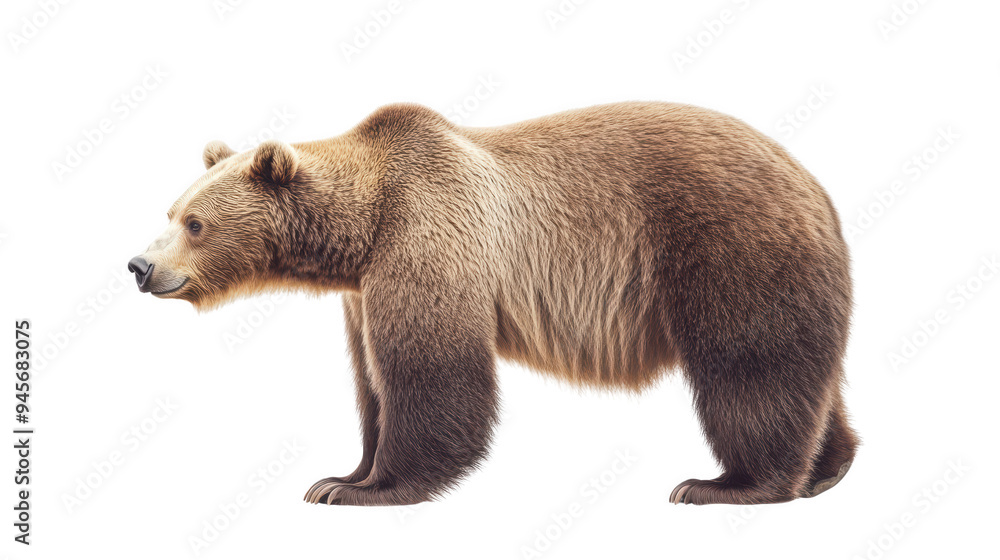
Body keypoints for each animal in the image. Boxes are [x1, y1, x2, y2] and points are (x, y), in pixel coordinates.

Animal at [128, 101, 858, 506]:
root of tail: (816, 186)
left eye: (195, 223)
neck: (360, 233)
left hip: (730, 249)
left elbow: (432, 373)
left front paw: (365, 488)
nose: (140, 266)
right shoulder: (362, 293)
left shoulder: (428, 236)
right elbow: (372, 385)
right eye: (170, 210)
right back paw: (828, 468)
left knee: (748, 370)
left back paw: (729, 485)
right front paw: (342, 473)